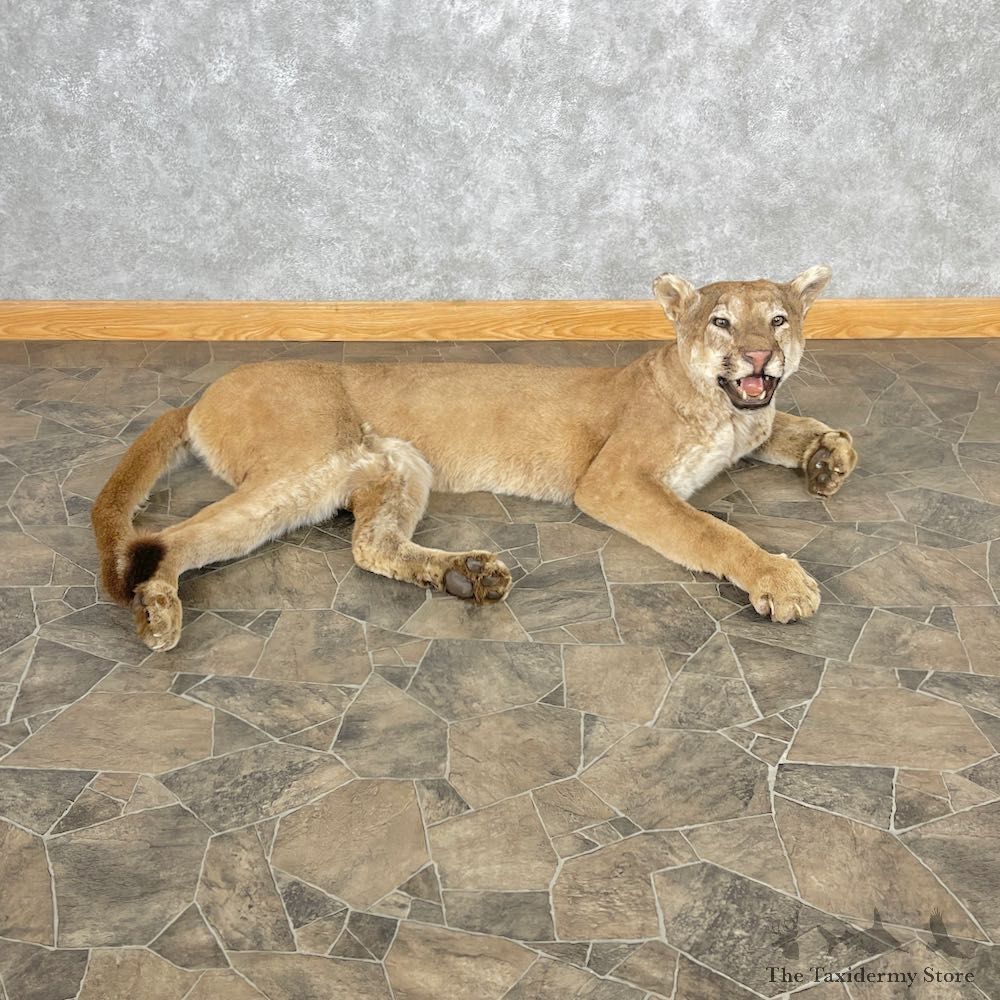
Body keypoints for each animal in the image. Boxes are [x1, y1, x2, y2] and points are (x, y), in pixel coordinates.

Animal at [92, 265, 857, 651]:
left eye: (778, 319)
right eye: (721, 322)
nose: (758, 358)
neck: (722, 409)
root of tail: (201, 392)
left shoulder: (752, 421)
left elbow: (785, 425)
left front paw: (827, 455)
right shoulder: (614, 480)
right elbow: (710, 530)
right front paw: (780, 580)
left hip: (392, 464)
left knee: (370, 545)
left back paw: (467, 576)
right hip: (308, 460)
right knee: (170, 537)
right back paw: (155, 606)